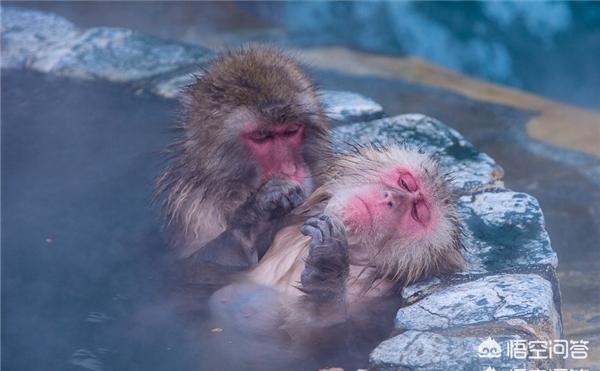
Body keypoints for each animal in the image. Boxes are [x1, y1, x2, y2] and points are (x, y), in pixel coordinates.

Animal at [209, 144, 466, 358]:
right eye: (405, 183)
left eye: (418, 213)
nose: (390, 198)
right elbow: (217, 262)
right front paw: (266, 202)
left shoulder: (382, 301)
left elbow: (327, 347)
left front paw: (328, 267)